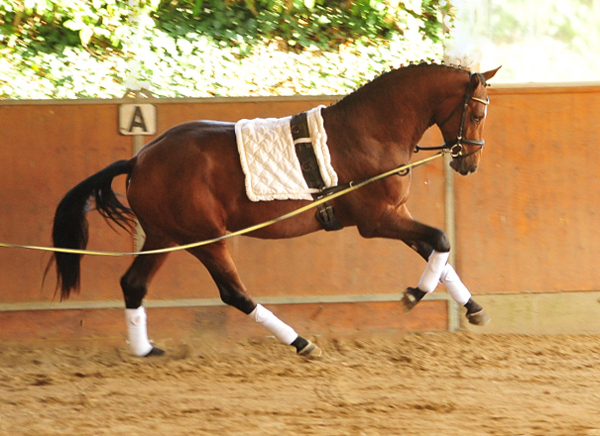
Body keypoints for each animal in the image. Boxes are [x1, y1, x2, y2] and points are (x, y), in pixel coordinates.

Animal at [49, 63, 502, 356]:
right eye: (478, 111)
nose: (470, 162)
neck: (370, 131)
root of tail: (140, 158)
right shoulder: (377, 220)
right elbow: (440, 241)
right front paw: (414, 294)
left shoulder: (397, 214)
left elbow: (437, 253)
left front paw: (473, 308)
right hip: (205, 238)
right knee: (233, 293)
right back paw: (300, 343)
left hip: (165, 236)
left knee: (133, 285)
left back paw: (145, 350)